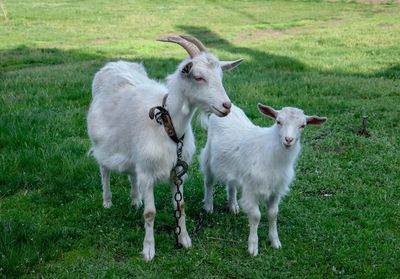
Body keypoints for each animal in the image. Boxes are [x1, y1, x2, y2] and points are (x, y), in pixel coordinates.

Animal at [87, 35, 242, 262]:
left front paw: (184, 240)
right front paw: (148, 250)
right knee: (104, 169)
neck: (168, 126)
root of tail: (114, 64)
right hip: (101, 143)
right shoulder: (148, 173)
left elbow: (180, 206)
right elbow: (150, 213)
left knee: (132, 174)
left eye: (220, 76)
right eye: (198, 77)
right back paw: (107, 201)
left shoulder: (176, 171)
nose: (226, 106)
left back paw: (135, 200)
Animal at [202, 103, 326, 256]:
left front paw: (275, 242)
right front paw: (253, 247)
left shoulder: (275, 190)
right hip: (208, 156)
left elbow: (273, 214)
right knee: (208, 181)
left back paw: (233, 206)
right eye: (278, 122)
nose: (288, 140)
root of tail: (229, 108)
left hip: (233, 167)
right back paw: (208, 206)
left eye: (303, 125)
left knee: (231, 184)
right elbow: (256, 216)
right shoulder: (251, 188)